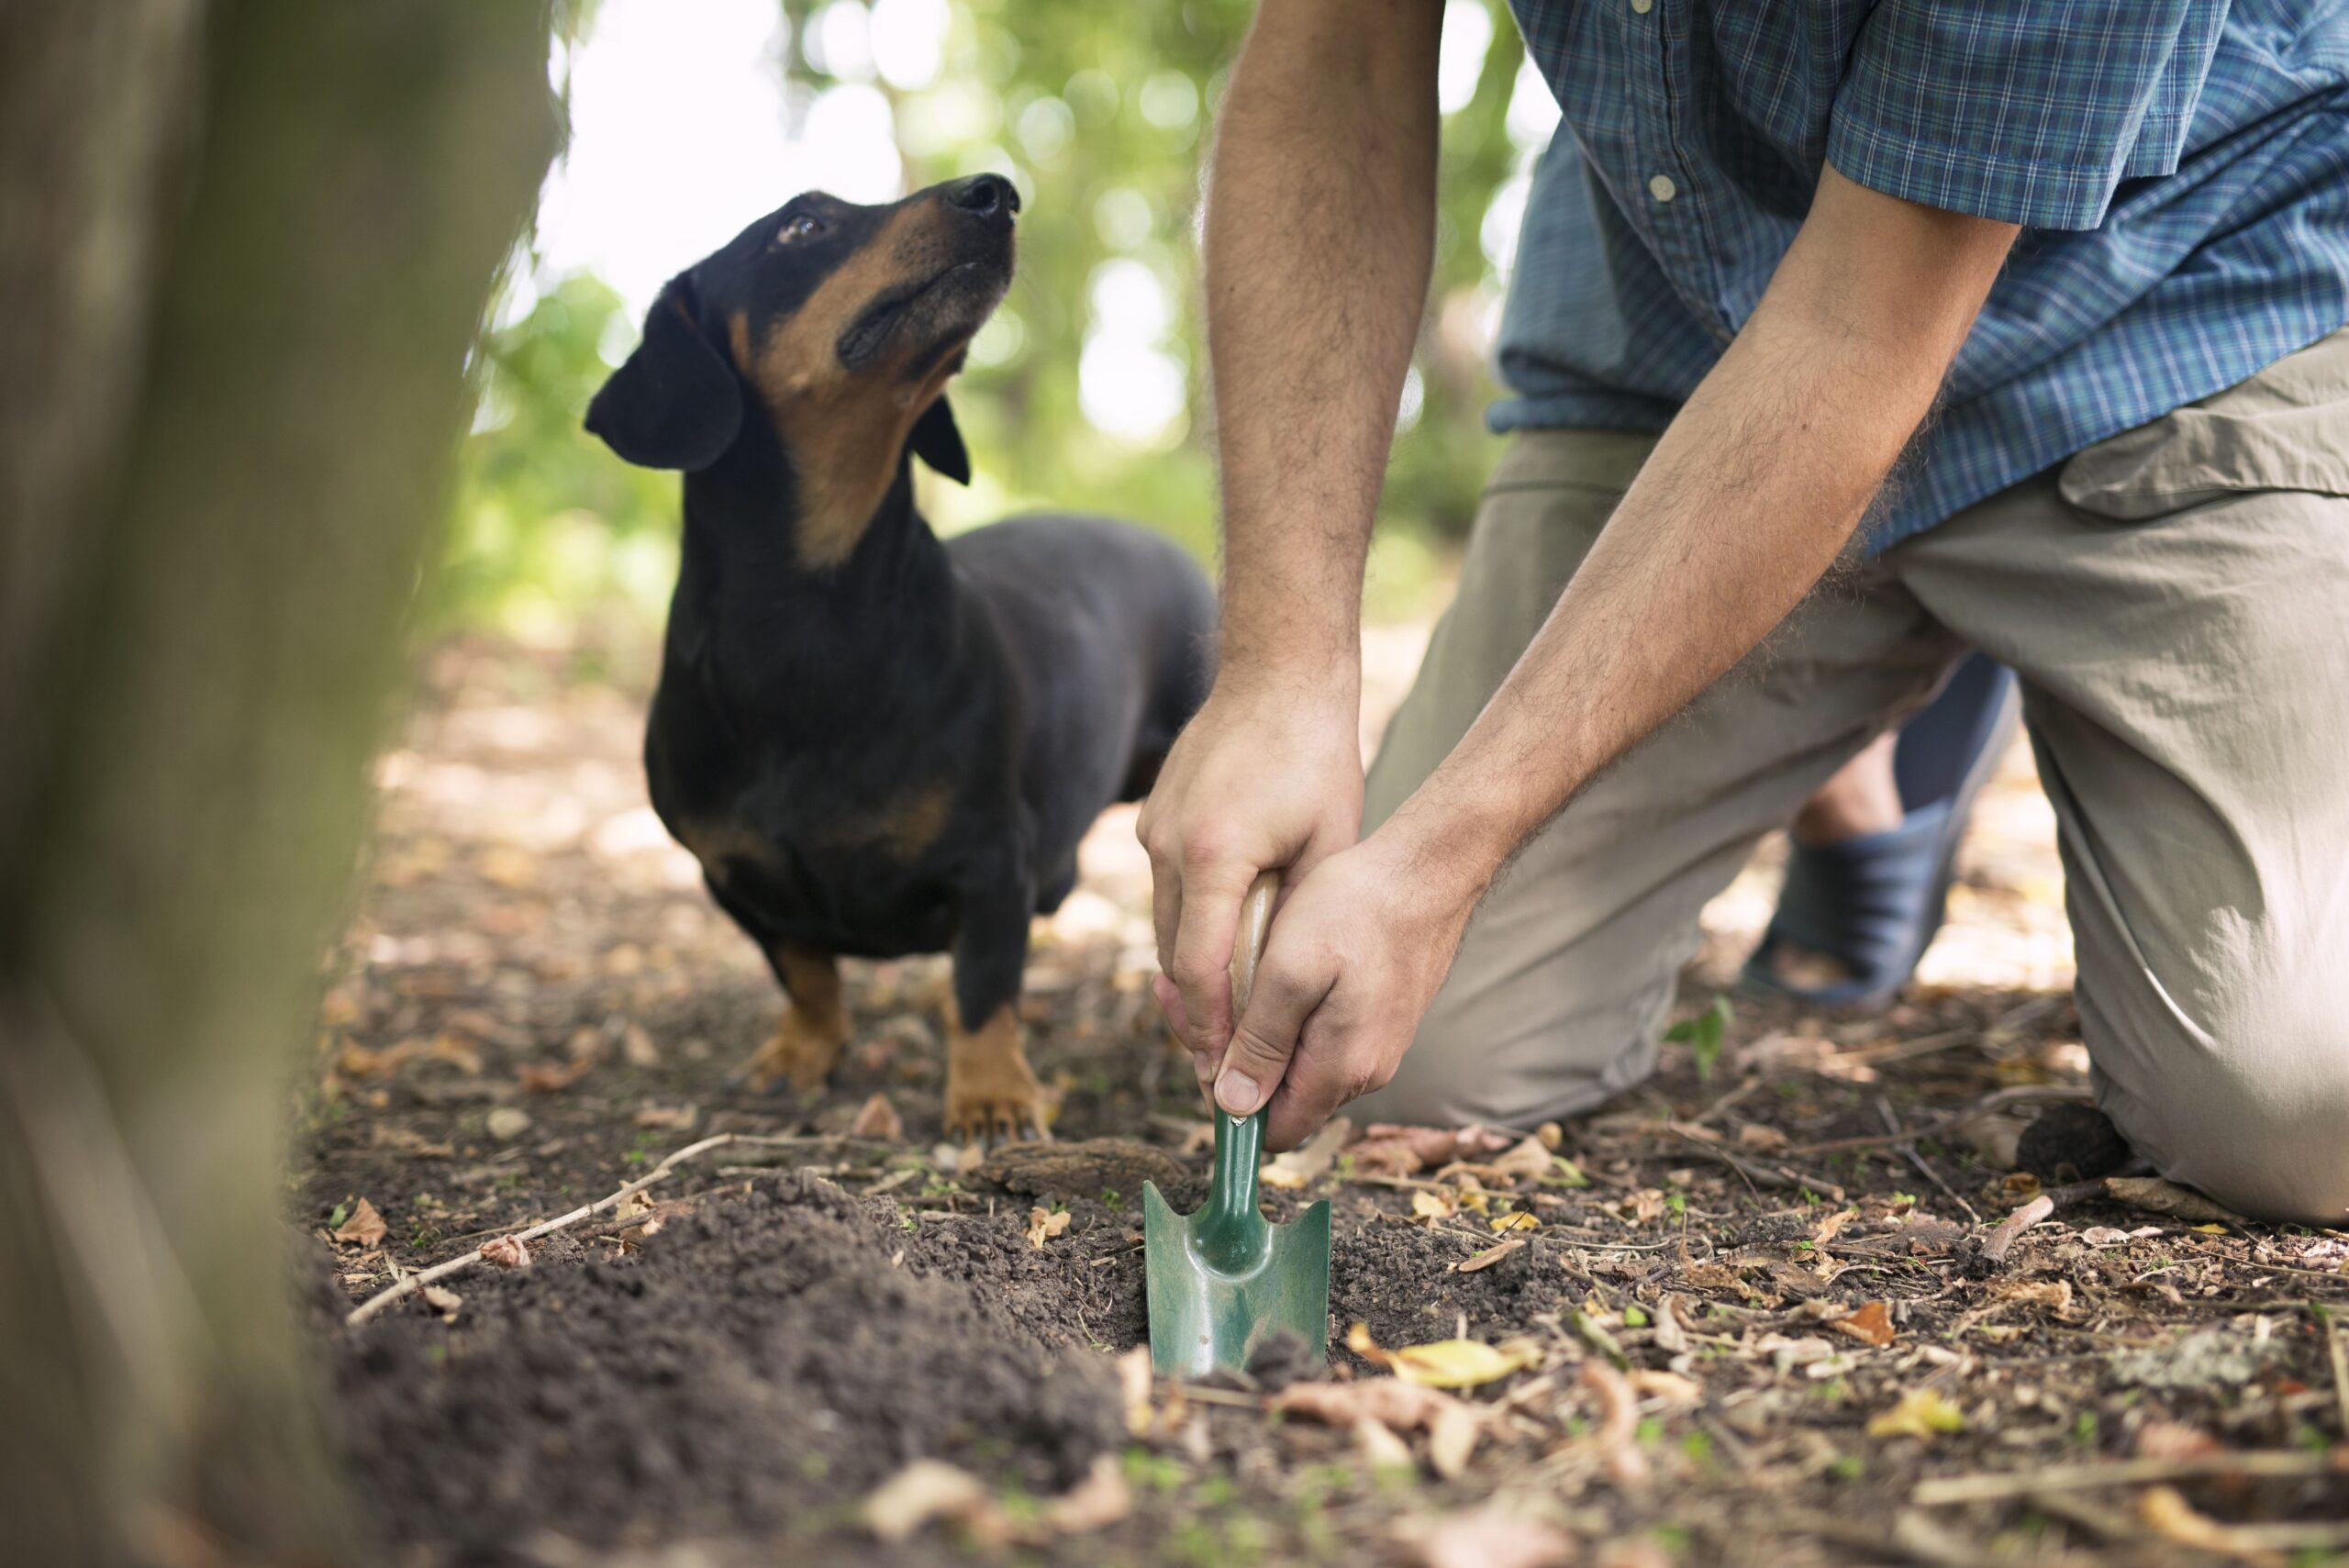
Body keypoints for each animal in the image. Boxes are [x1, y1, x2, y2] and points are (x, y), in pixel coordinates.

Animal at [584, 177, 1211, 1140]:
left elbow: (982, 988)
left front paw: (991, 1096)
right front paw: (802, 1053)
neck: (811, 630)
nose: (996, 192)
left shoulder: (993, 863)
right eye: (801, 225)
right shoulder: (730, 877)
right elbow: (806, 974)